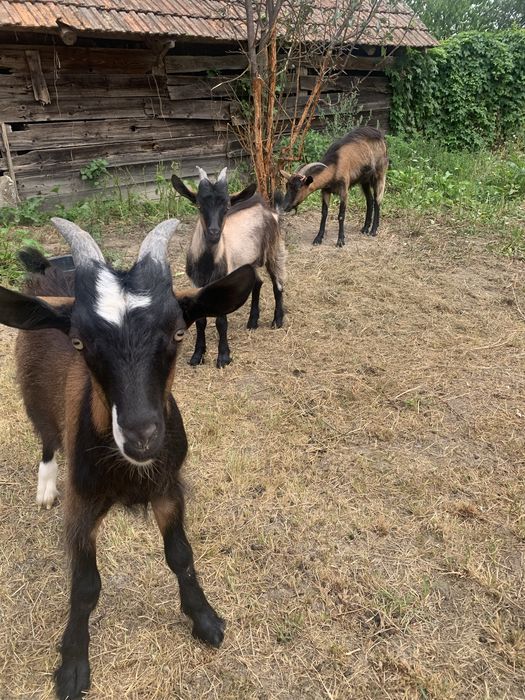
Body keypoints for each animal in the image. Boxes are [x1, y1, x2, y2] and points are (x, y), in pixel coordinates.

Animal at [0, 218, 255, 700]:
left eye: (178, 332)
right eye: (79, 341)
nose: (141, 436)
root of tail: (50, 268)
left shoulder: (168, 488)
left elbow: (180, 555)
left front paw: (205, 621)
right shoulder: (82, 505)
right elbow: (85, 586)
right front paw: (73, 667)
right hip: (32, 393)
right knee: (46, 436)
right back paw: (45, 487)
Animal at [171, 166, 287, 368]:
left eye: (226, 207)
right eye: (199, 205)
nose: (214, 233)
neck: (208, 264)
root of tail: (270, 210)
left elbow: (221, 321)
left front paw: (223, 357)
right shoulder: (196, 282)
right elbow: (200, 320)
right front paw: (197, 356)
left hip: (274, 249)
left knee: (277, 283)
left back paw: (277, 320)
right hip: (248, 260)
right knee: (258, 282)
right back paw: (252, 322)